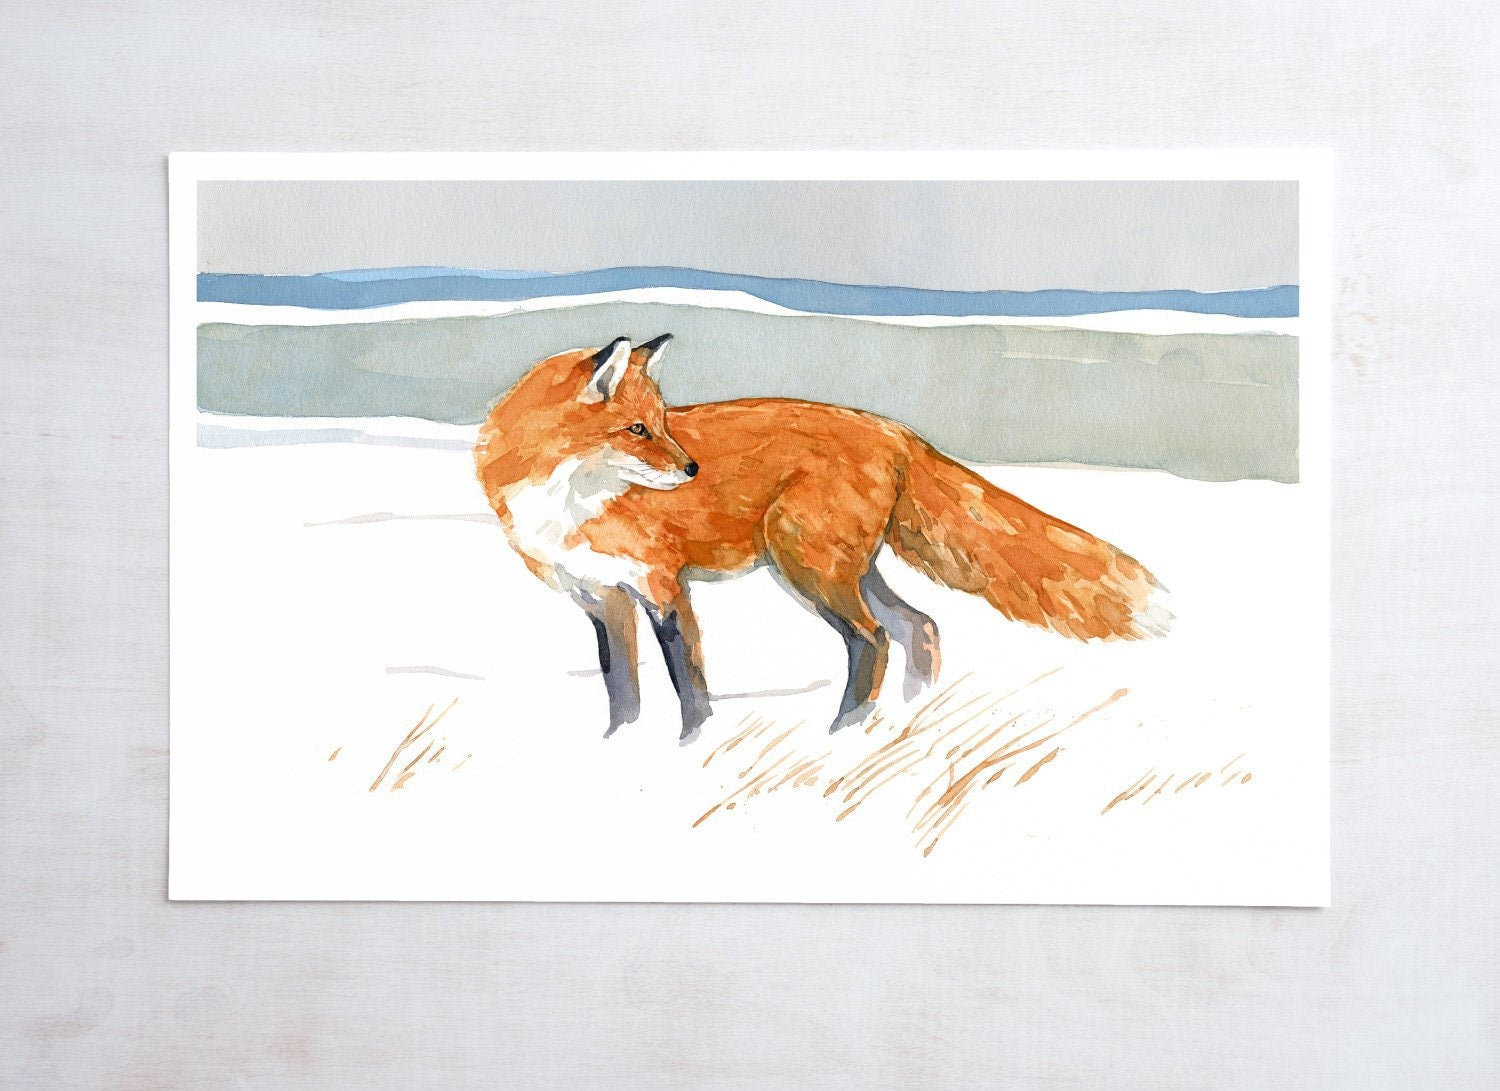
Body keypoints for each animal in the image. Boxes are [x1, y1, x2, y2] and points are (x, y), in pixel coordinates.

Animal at [475, 335, 1167, 743]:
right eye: (637, 429)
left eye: (663, 423)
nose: (692, 469)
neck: (568, 502)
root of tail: (892, 428)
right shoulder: (601, 598)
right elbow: (622, 688)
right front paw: (618, 750)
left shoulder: (663, 586)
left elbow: (688, 684)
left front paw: (692, 748)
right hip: (844, 569)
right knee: (920, 627)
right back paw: (908, 718)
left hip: (809, 569)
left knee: (874, 640)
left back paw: (843, 734)